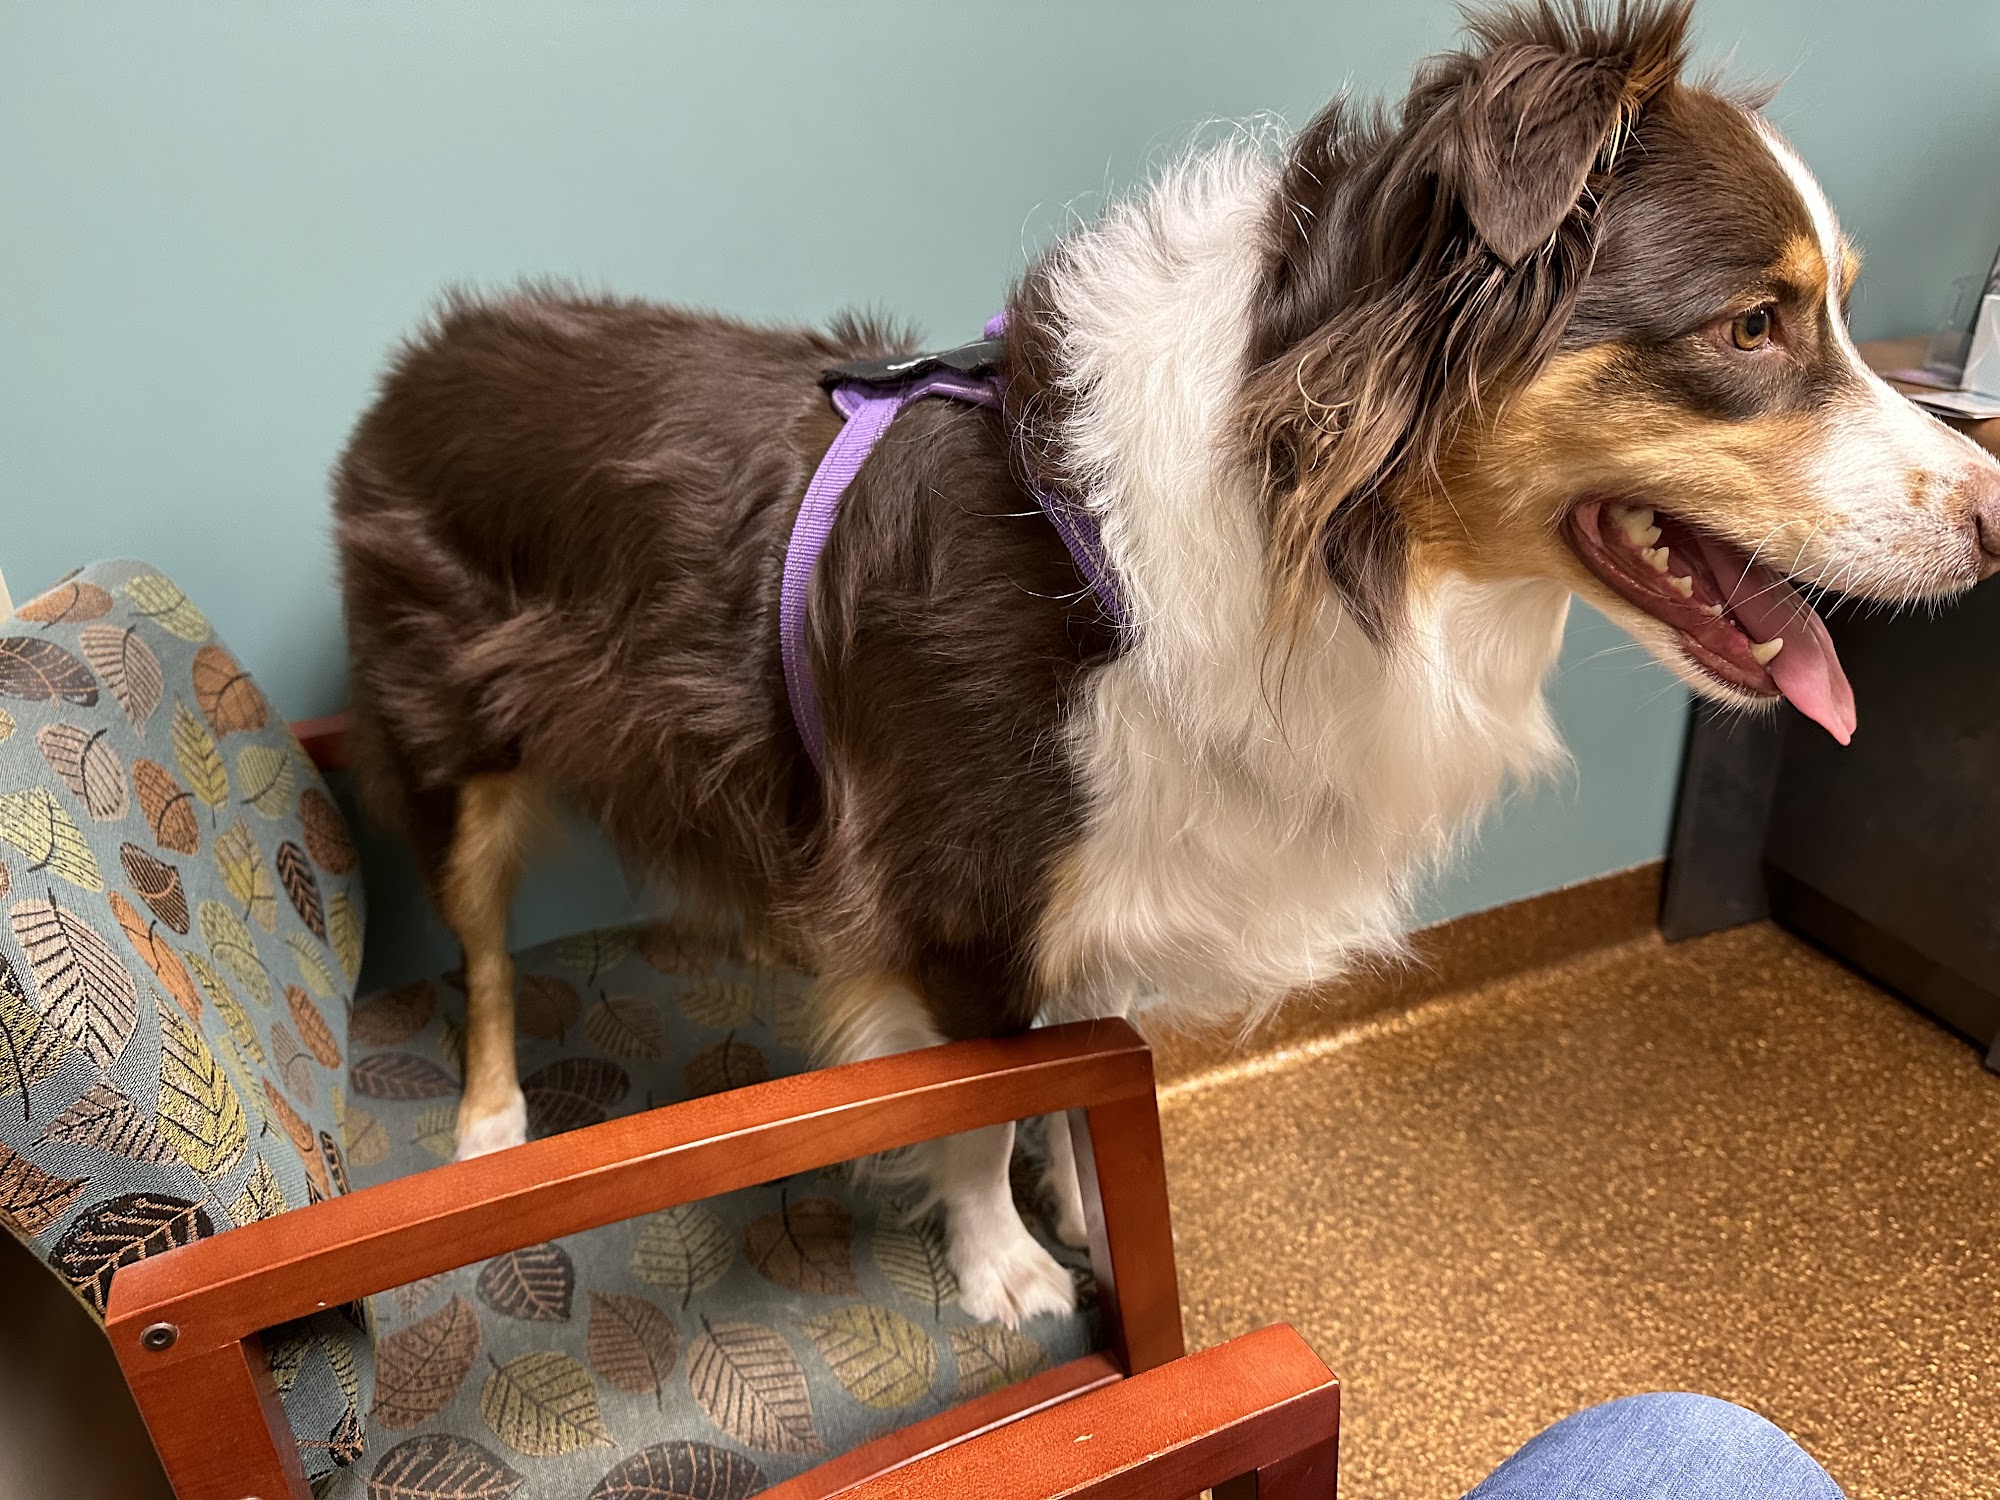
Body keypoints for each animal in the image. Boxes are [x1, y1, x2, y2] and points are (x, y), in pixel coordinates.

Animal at [334, 0, 2000, 1327]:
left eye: (1839, 312)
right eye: (1752, 325)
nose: (1998, 520)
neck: (1296, 536)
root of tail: (419, 356)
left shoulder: (1095, 894)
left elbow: (1068, 1089)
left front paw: (1085, 1201)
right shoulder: (960, 903)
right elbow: (973, 1116)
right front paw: (1004, 1264)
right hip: (451, 752)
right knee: (482, 951)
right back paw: (490, 1122)